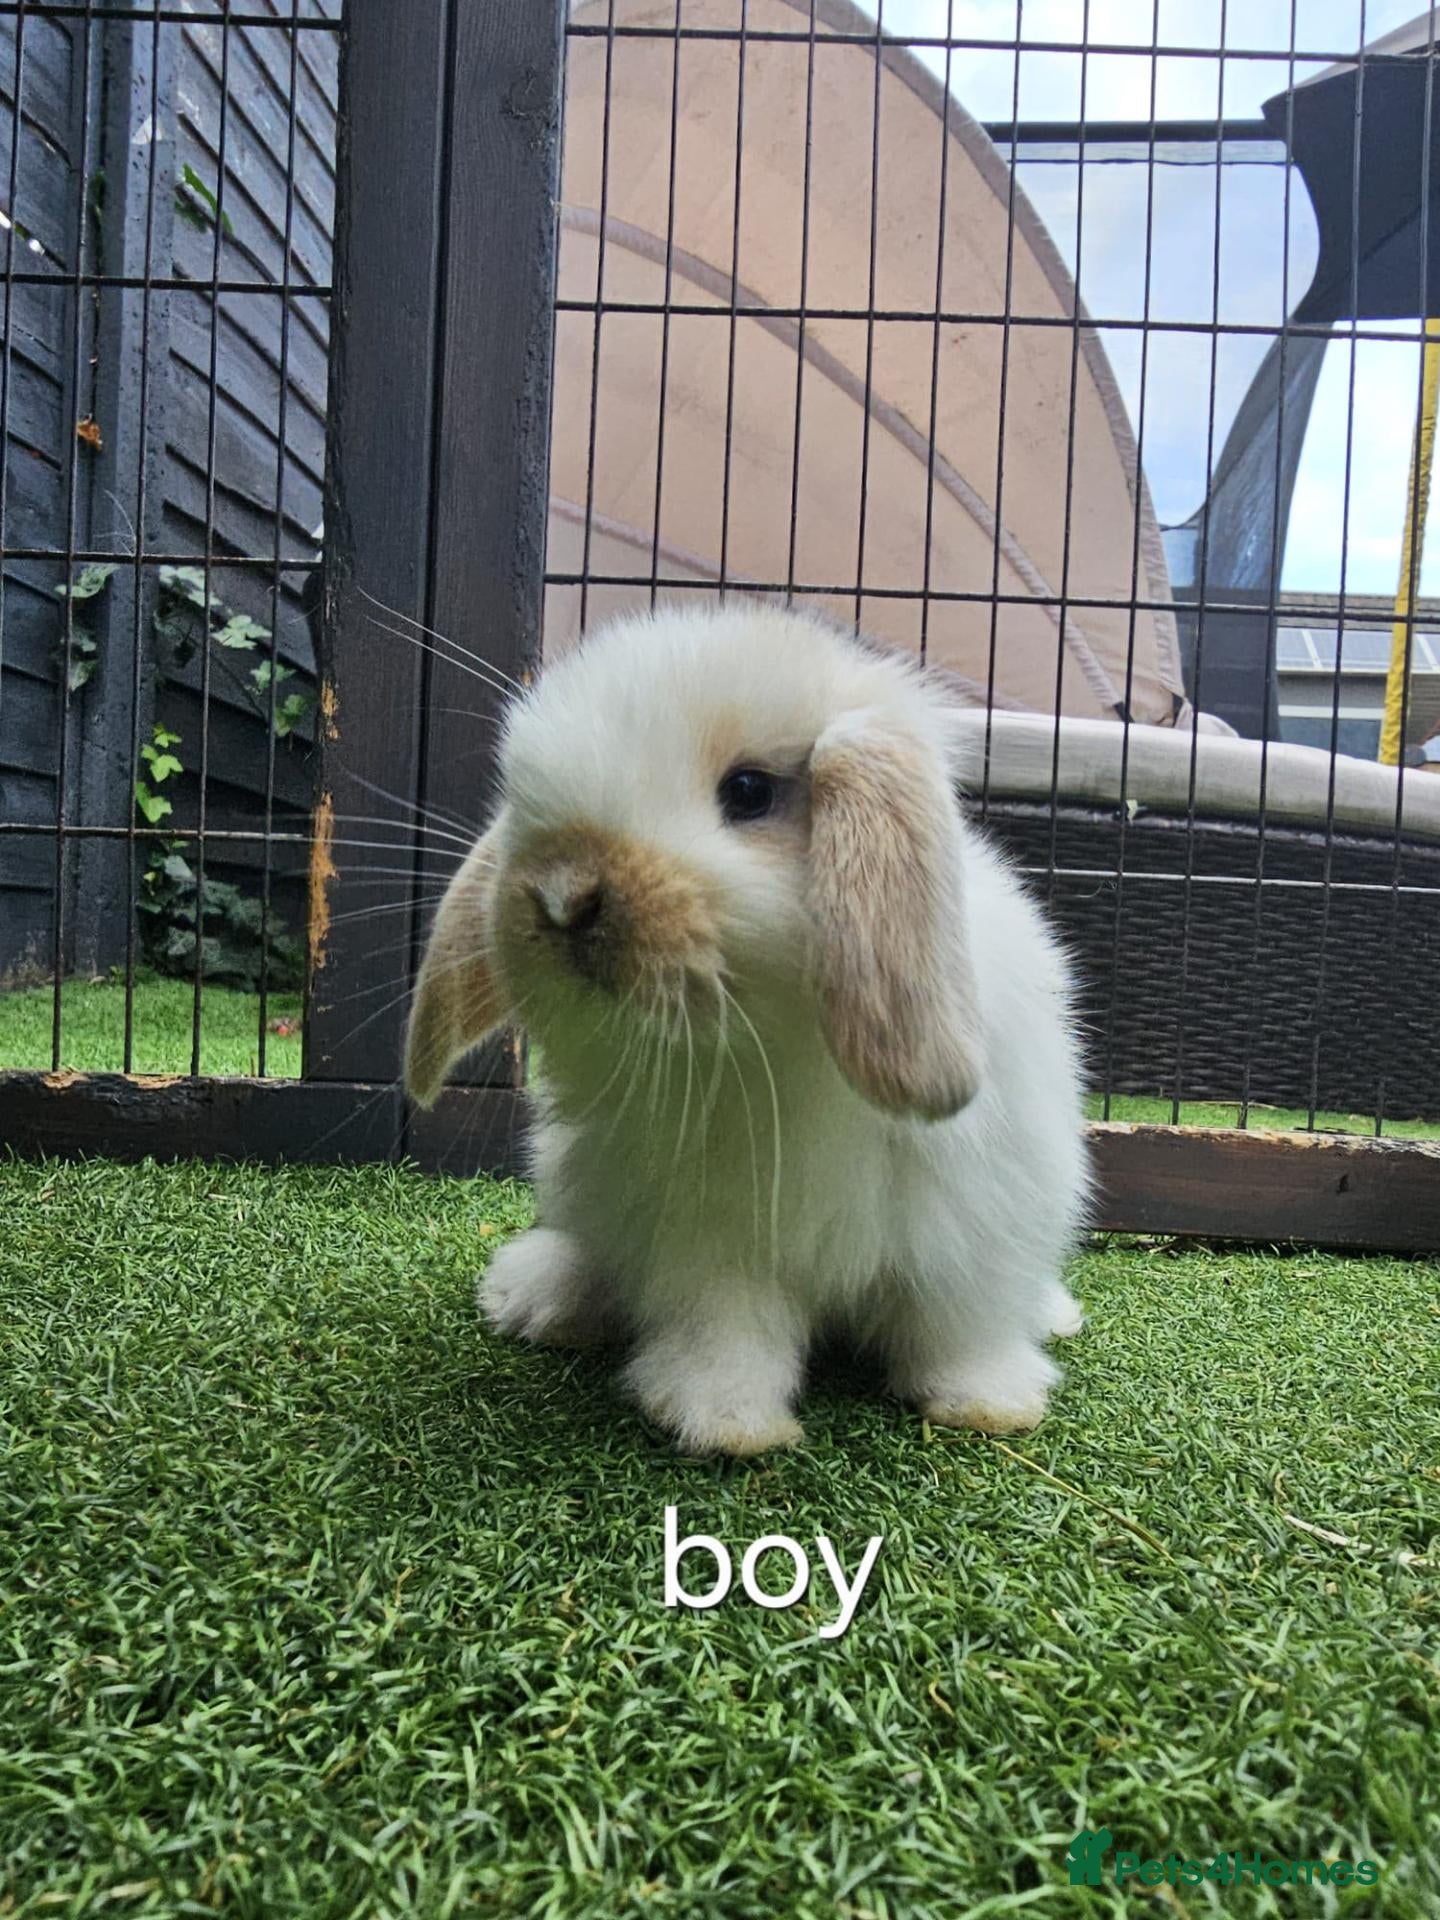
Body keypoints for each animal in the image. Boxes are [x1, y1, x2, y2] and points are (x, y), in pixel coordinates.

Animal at [405, 604, 1090, 1457]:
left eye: (749, 791)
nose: (560, 898)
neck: (768, 1047)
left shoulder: (974, 1233)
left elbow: (962, 1330)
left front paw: (987, 1406)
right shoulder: (711, 1244)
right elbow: (727, 1332)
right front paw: (725, 1424)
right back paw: (540, 1297)